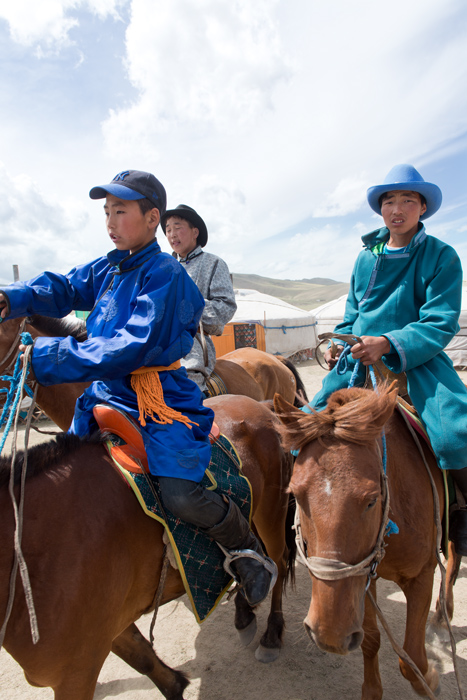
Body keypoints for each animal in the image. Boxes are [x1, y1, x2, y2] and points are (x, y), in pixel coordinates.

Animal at [0, 394, 296, 700]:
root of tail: (262, 405)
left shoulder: (75, 671)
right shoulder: (104, 633)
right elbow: (149, 664)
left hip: (272, 511)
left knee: (279, 560)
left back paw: (271, 634)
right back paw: (245, 607)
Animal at [274, 386, 454, 696]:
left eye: (371, 500)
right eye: (295, 495)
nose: (329, 634)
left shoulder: (422, 575)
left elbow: (411, 658)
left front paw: (429, 679)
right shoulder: (362, 576)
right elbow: (370, 640)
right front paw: (371, 690)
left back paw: (443, 618)